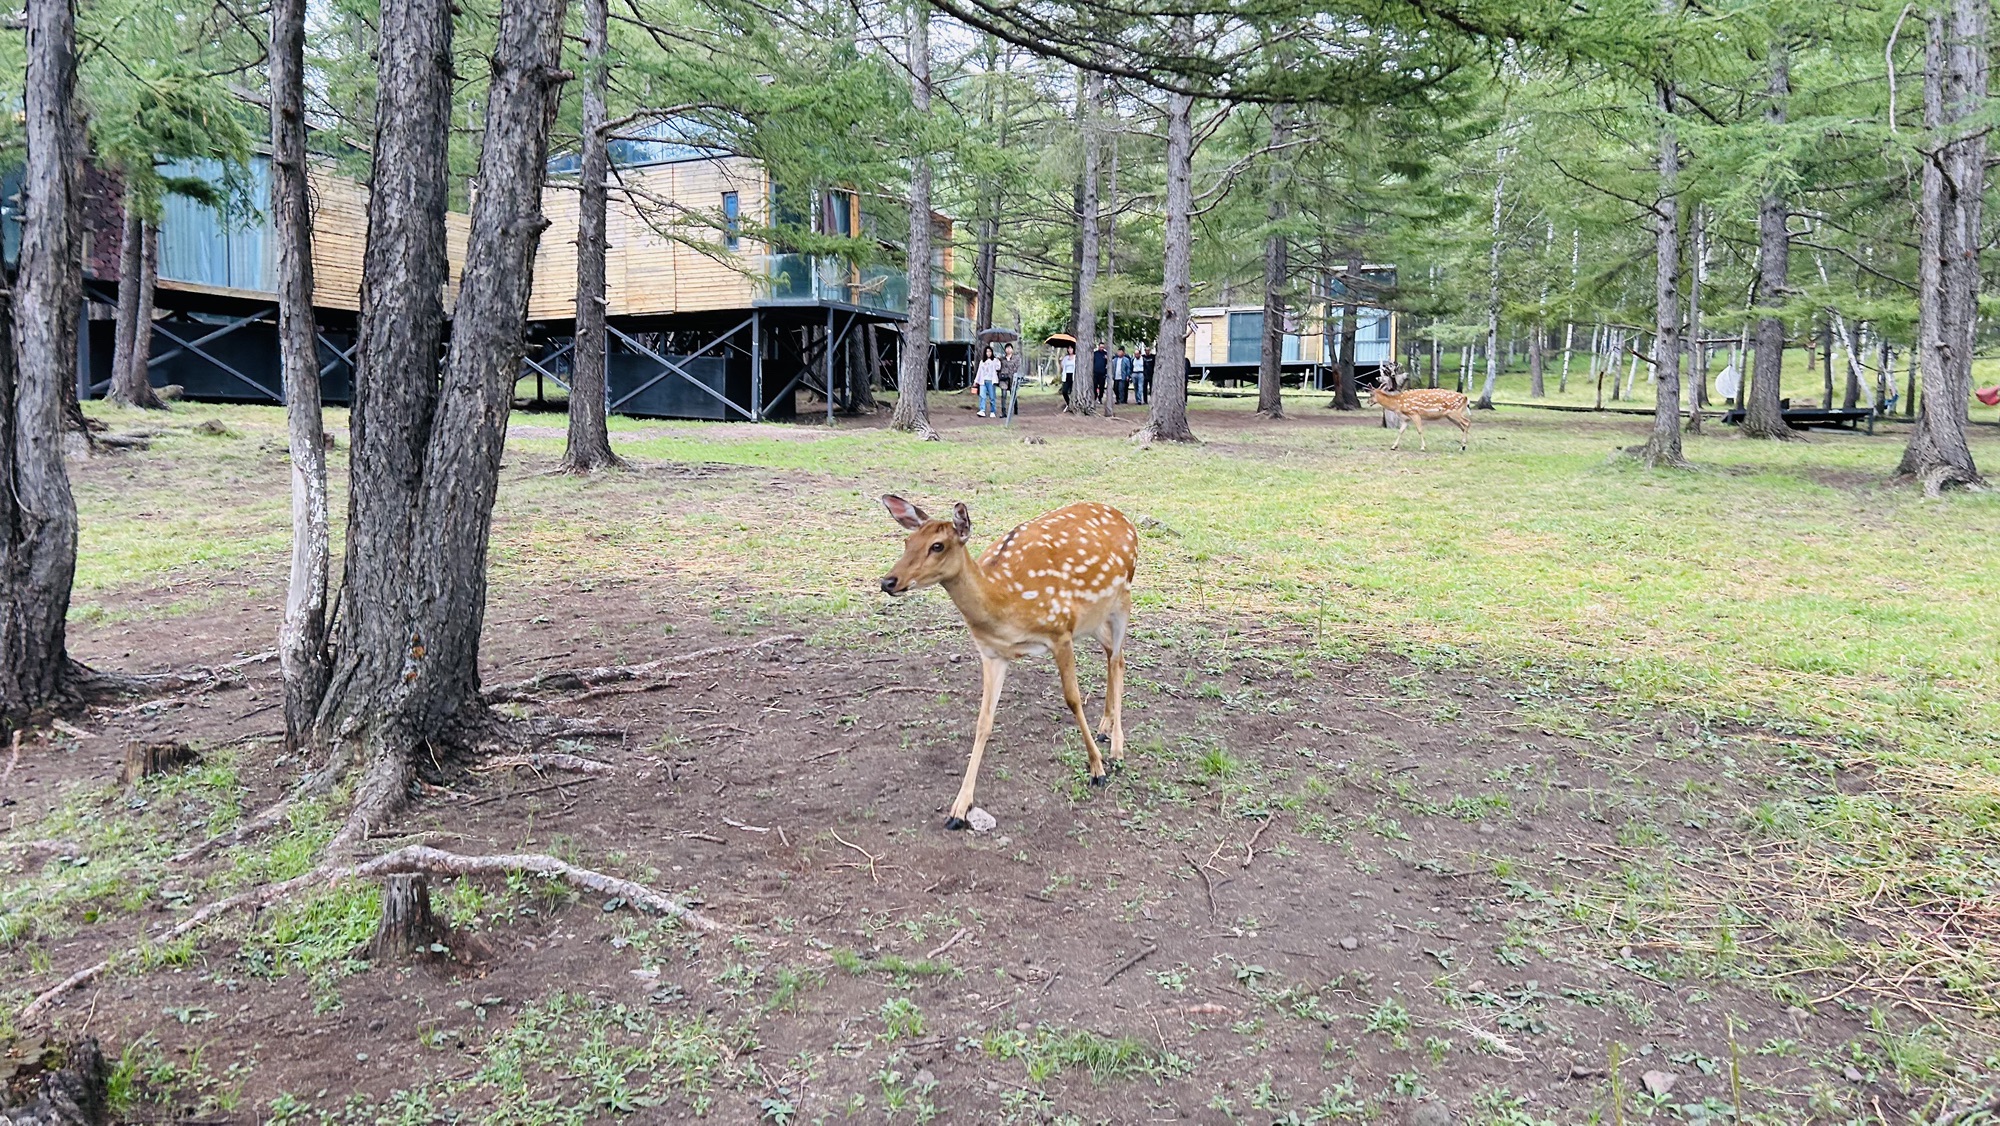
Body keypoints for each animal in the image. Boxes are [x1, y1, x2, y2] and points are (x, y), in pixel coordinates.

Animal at [878, 495, 1137, 830]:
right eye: (907, 541)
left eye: (937, 545)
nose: (888, 581)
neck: (1004, 604)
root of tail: (1125, 519)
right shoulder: (992, 653)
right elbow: (983, 722)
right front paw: (959, 809)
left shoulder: (1060, 631)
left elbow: (1072, 699)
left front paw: (1097, 769)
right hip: (1093, 619)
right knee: (1113, 654)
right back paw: (1104, 727)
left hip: (1122, 598)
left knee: (1118, 658)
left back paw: (1116, 749)